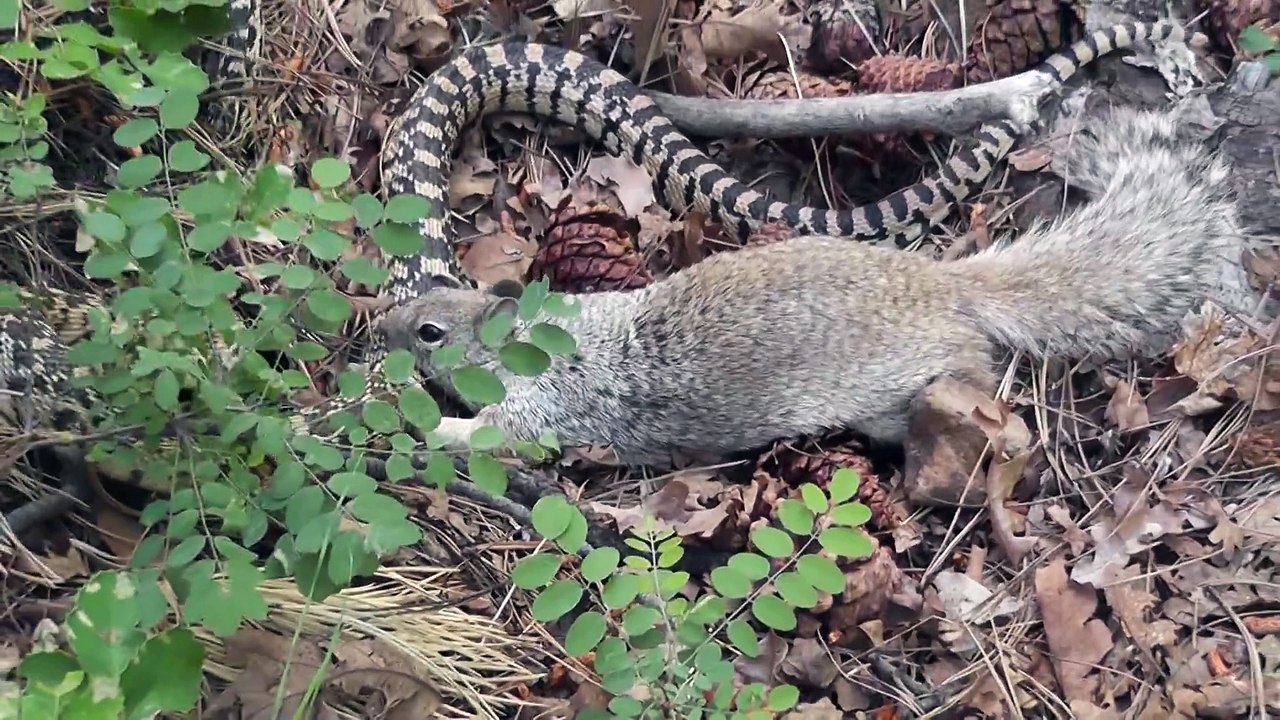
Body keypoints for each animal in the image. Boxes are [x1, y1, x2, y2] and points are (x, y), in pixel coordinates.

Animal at [375, 105, 1259, 468]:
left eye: (431, 332)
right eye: (435, 298)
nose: (380, 328)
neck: (547, 344)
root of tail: (943, 286)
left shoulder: (548, 411)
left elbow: (494, 435)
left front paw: (432, 430)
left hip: (908, 392)